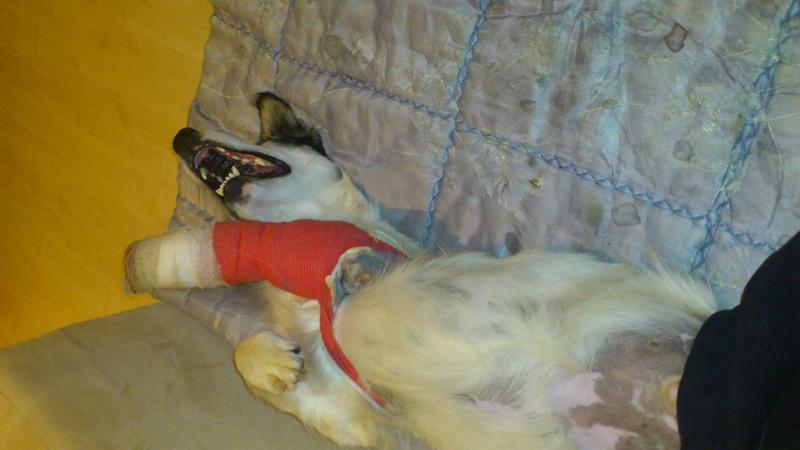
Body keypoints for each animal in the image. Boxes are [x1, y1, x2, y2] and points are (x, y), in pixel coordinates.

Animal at [126, 93, 719, 449]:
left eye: (265, 141)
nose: (180, 137)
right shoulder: (361, 416)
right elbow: (260, 362)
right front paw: (271, 362)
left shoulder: (394, 267)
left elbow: (358, 283)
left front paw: (350, 273)